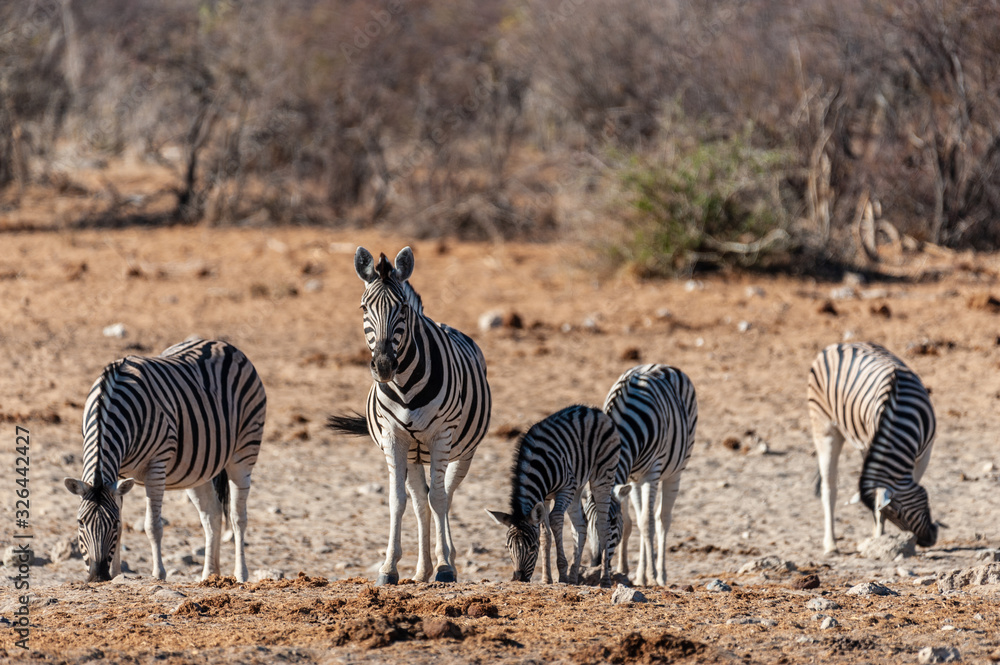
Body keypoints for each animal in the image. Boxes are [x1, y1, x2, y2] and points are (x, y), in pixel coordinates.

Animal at [64, 338, 266, 582]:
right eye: (80, 522)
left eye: (112, 523)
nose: (98, 575)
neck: (107, 400)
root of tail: (222, 344)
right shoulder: (118, 473)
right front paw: (118, 574)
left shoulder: (156, 465)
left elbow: (152, 526)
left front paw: (158, 574)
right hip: (197, 469)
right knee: (213, 514)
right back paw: (210, 575)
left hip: (245, 450)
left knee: (238, 517)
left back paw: (241, 574)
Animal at [327, 246, 491, 586]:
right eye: (363, 307)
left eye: (402, 308)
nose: (384, 366)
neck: (405, 387)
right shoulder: (394, 437)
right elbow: (397, 501)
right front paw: (389, 568)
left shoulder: (442, 435)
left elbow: (439, 499)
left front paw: (445, 568)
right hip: (415, 453)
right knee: (420, 503)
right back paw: (422, 570)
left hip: (463, 451)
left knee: (445, 497)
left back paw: (447, 560)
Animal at [487, 405, 620, 587]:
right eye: (508, 548)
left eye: (532, 548)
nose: (518, 579)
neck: (537, 465)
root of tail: (592, 410)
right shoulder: (545, 497)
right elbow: (545, 534)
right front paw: (547, 578)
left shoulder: (566, 488)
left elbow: (556, 519)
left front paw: (562, 574)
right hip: (578, 485)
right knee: (581, 526)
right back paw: (574, 578)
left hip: (603, 476)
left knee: (603, 526)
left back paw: (604, 579)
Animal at [585, 364, 698, 586]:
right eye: (586, 519)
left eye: (611, 521)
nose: (594, 563)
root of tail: (661, 364)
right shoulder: (625, 477)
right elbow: (630, 523)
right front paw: (624, 569)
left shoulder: (651, 472)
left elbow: (647, 523)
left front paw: (652, 575)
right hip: (636, 480)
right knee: (640, 517)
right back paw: (640, 574)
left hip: (674, 471)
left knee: (662, 519)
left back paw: (660, 575)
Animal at [807, 342, 938, 554]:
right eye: (898, 515)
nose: (929, 540)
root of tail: (838, 345)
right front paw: (881, 538)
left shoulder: (925, 453)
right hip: (824, 426)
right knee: (829, 487)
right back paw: (831, 544)